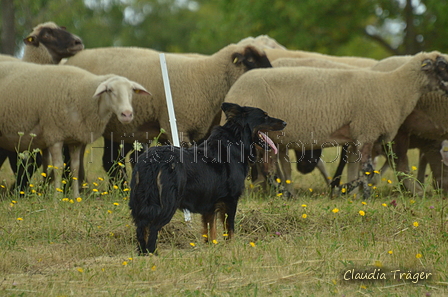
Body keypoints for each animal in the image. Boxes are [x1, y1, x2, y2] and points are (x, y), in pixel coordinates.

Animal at [0, 60, 150, 197]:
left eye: (131, 91)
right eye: (109, 90)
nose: (127, 114)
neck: (85, 95)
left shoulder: (75, 139)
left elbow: (75, 167)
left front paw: (76, 197)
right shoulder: (54, 135)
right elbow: (59, 167)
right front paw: (57, 198)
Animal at [65, 43, 272, 183]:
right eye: (251, 60)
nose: (271, 73)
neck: (205, 77)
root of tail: (73, 59)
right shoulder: (178, 126)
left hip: (118, 128)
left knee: (112, 160)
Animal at [130, 102, 286, 252]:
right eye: (265, 116)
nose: (285, 122)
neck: (236, 141)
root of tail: (152, 162)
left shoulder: (209, 204)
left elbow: (211, 231)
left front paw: (212, 248)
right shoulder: (230, 200)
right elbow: (229, 229)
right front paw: (232, 247)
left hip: (141, 204)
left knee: (141, 229)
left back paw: (143, 254)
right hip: (167, 203)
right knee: (153, 228)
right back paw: (153, 253)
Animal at [224, 51, 448, 198]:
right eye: (442, 66)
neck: (396, 87)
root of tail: (234, 90)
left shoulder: (357, 136)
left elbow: (356, 168)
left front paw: (350, 190)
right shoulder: (367, 130)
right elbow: (367, 168)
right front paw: (363, 193)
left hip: (269, 136)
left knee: (267, 166)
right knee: (263, 167)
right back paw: (280, 193)